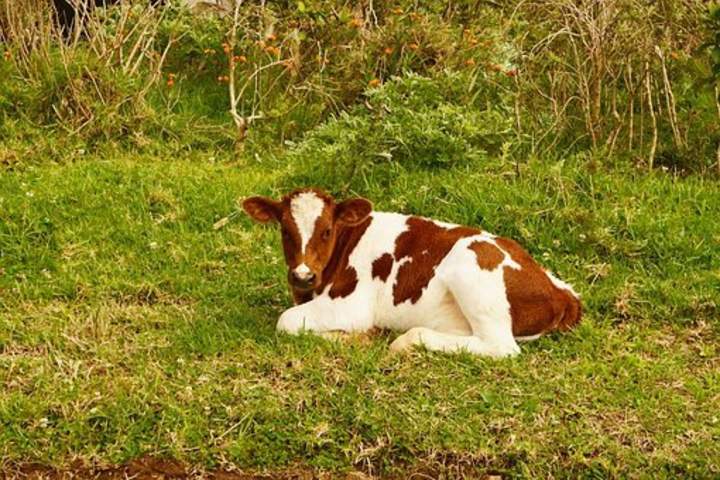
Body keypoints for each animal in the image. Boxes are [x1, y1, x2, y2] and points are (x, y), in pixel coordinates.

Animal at [243, 188, 582, 357]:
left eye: (326, 230)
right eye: (285, 230)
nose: (302, 276)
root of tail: (562, 292)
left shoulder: (351, 305)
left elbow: (285, 321)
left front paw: (359, 337)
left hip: (470, 271)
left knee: (501, 347)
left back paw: (404, 341)